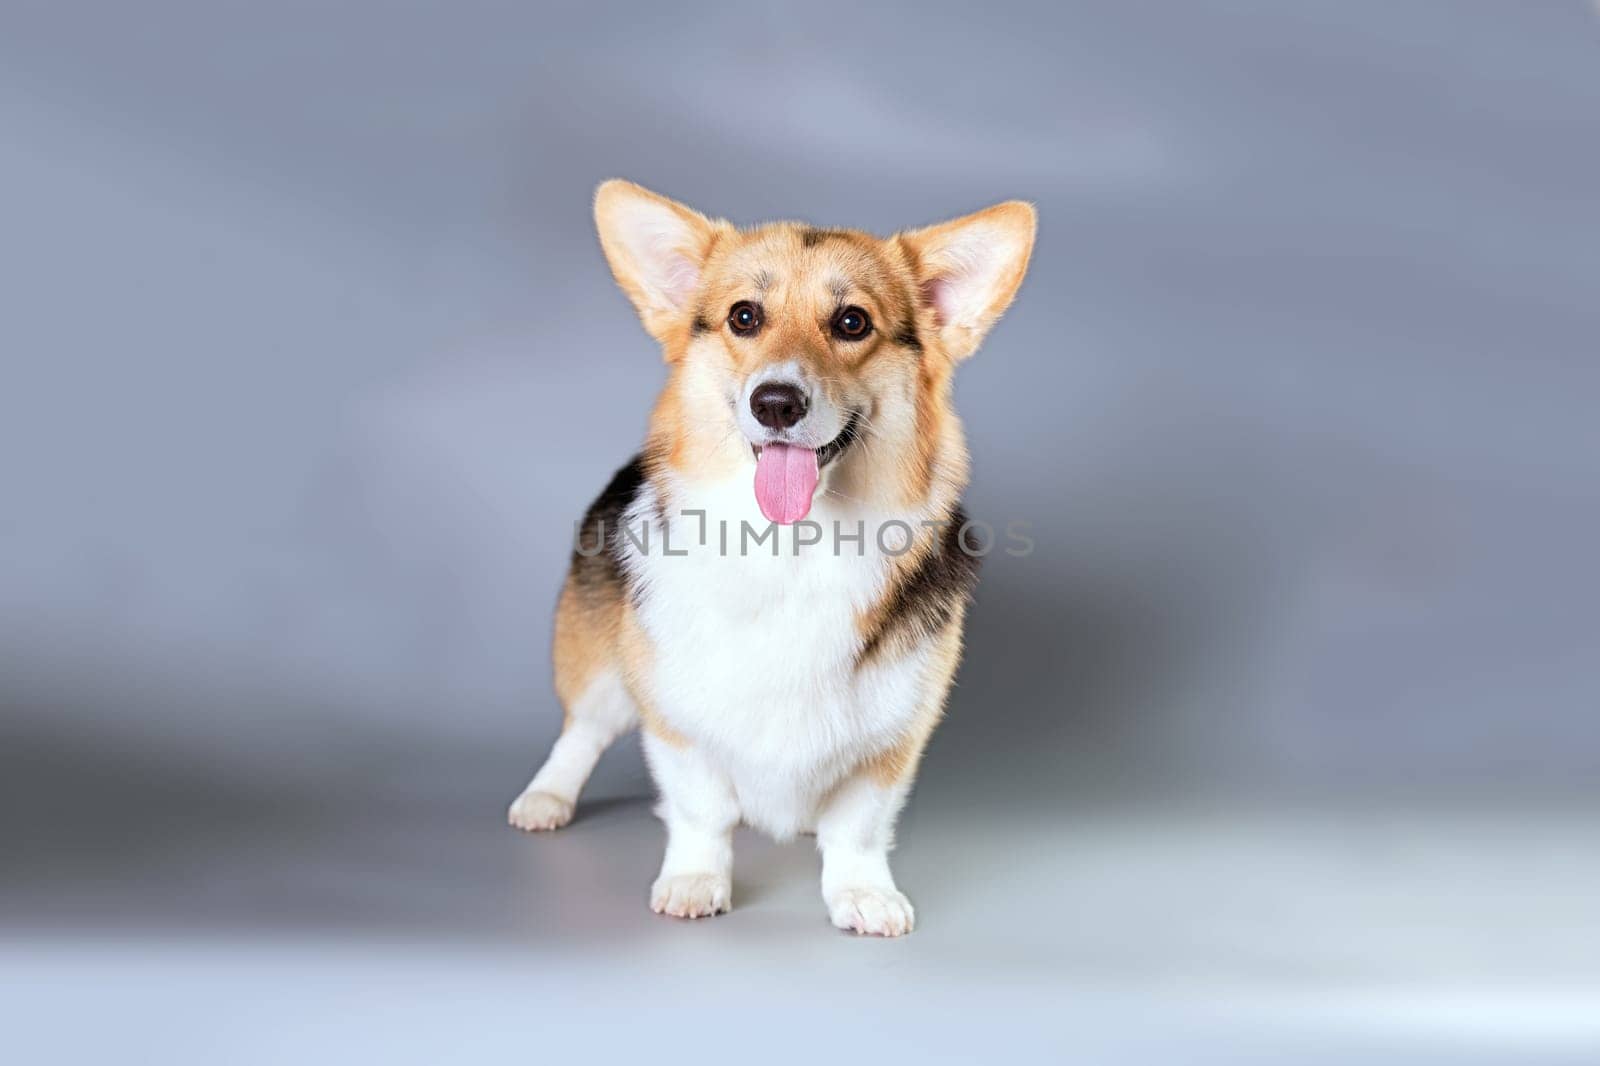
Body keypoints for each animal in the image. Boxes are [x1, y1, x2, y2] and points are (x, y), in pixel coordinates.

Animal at [512, 180, 1036, 928]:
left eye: (852, 322)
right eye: (744, 317)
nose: (777, 403)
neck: (793, 549)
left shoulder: (895, 737)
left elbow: (859, 826)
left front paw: (862, 894)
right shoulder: (676, 722)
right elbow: (700, 811)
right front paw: (695, 881)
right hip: (600, 670)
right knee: (580, 731)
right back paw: (546, 799)